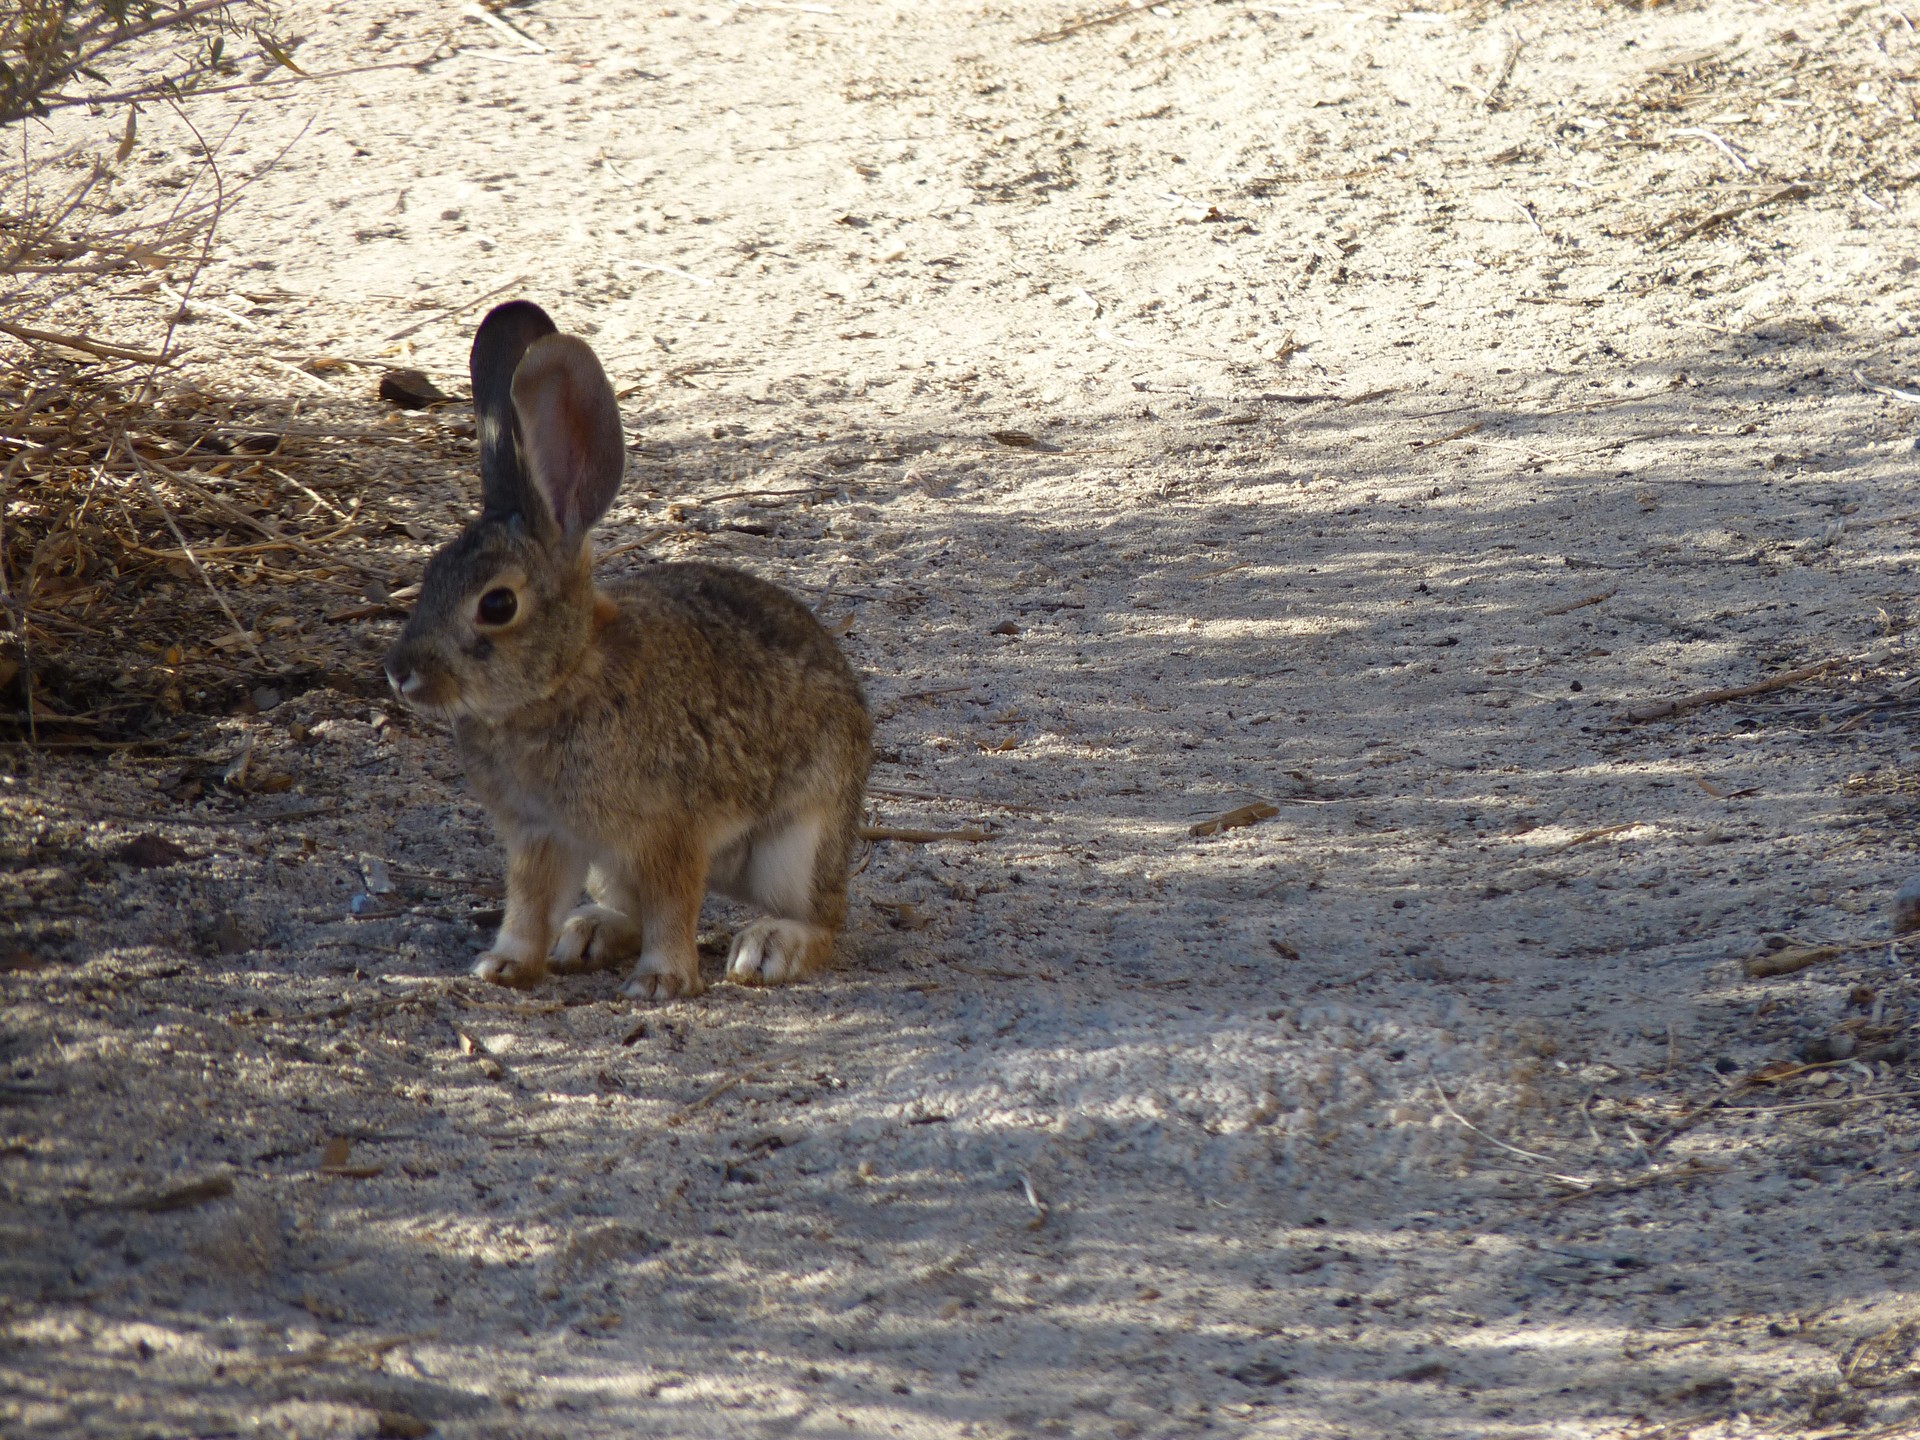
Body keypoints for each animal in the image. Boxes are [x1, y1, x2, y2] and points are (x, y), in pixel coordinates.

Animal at [382, 300, 872, 1000]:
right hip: (611, 867)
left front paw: (663, 982)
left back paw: (771, 948)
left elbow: (673, 907)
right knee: (627, 912)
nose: (400, 674)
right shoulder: (541, 836)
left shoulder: (669, 831)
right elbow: (528, 905)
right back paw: (586, 935)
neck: (565, 680)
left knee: (822, 919)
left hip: (798, 843)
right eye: (430, 573)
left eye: (497, 605)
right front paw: (504, 966)